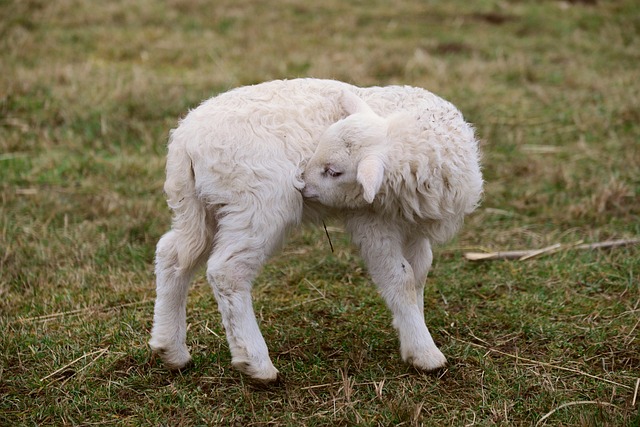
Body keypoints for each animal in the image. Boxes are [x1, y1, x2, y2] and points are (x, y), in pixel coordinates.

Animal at [149, 78, 480, 382]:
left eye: (334, 171)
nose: (300, 184)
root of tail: (184, 141)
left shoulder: (413, 225)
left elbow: (419, 273)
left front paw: (412, 330)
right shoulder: (371, 220)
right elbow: (400, 278)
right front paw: (425, 352)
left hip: (201, 205)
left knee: (173, 255)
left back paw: (171, 349)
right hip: (255, 204)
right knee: (226, 272)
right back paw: (256, 364)